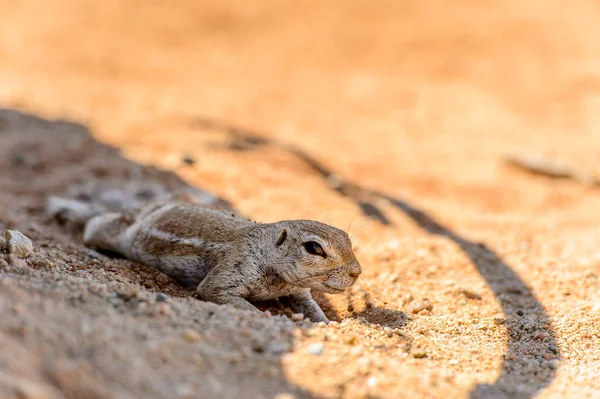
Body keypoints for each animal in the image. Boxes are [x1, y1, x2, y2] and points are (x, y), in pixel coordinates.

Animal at [48, 189, 360, 324]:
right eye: (314, 248)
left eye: (347, 238)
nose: (357, 273)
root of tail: (147, 209)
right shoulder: (232, 269)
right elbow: (220, 293)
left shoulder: (299, 291)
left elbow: (312, 308)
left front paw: (327, 323)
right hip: (119, 234)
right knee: (99, 223)